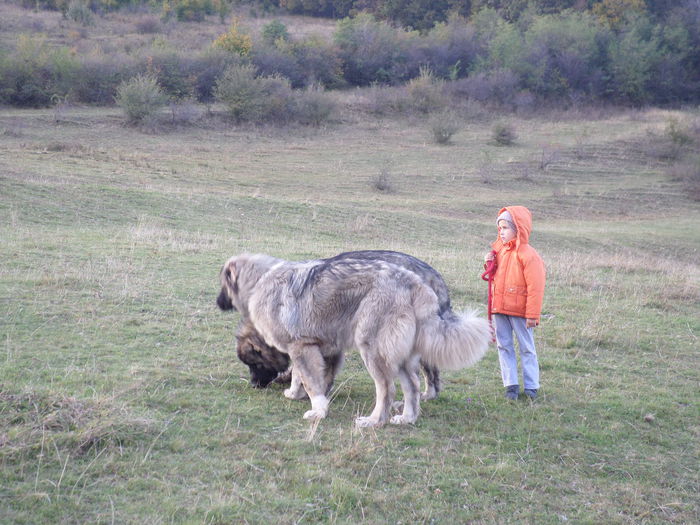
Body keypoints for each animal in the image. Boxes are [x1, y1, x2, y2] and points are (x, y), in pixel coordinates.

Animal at [216, 251, 490, 426]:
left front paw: (316, 410)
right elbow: (308, 377)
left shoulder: (301, 346)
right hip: (398, 354)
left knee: (387, 389)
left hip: (373, 349)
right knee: (411, 385)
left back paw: (374, 421)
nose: (217, 303)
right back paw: (407, 418)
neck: (259, 281)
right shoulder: (318, 348)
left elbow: (309, 380)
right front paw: (302, 395)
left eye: (254, 363)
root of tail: (415, 283)